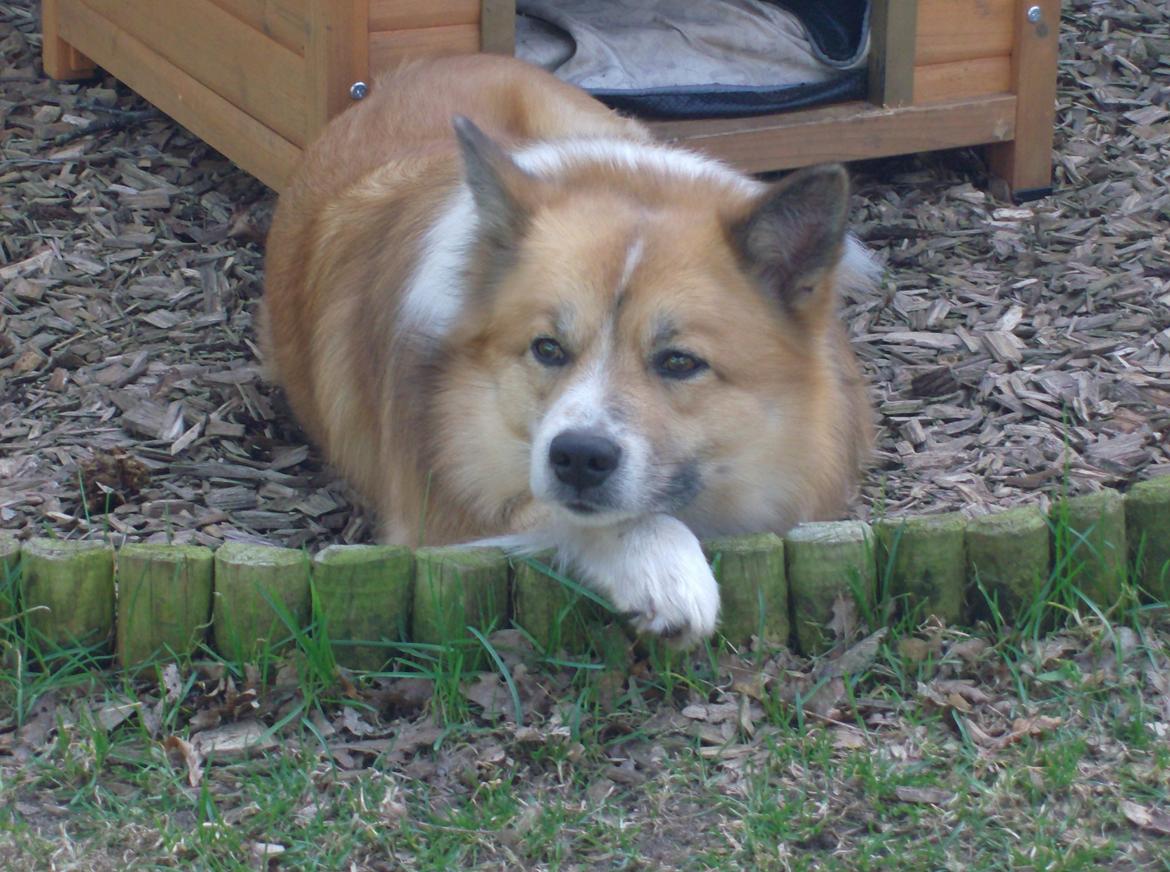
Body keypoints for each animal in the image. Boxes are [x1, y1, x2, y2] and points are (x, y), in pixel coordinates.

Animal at [260, 50, 875, 641]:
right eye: (548, 349)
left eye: (680, 362)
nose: (578, 457)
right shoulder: (442, 522)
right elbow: (582, 518)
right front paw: (664, 565)